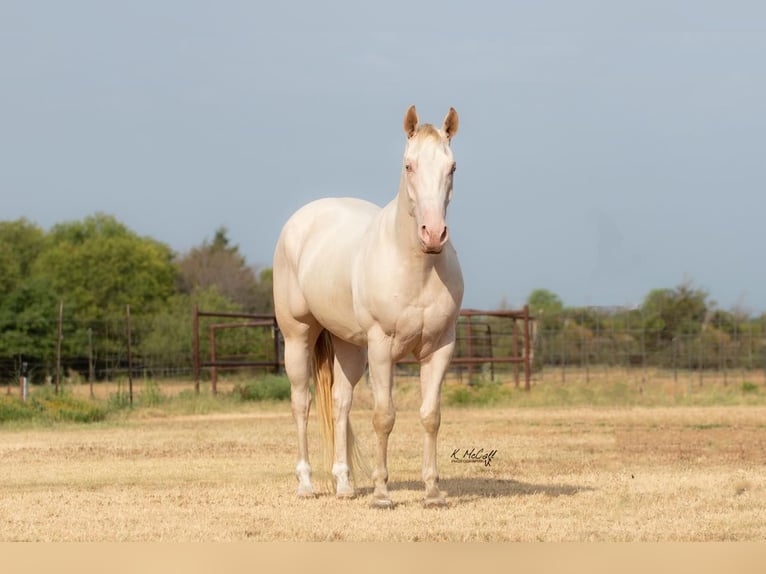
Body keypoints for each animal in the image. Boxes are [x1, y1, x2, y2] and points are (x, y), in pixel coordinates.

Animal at [272, 104, 464, 508]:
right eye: (409, 165)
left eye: (452, 167)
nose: (433, 235)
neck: (417, 268)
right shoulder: (381, 347)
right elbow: (384, 416)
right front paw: (381, 493)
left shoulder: (441, 347)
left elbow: (430, 416)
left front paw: (433, 491)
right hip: (298, 336)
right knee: (301, 403)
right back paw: (306, 484)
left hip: (348, 346)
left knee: (341, 403)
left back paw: (344, 485)